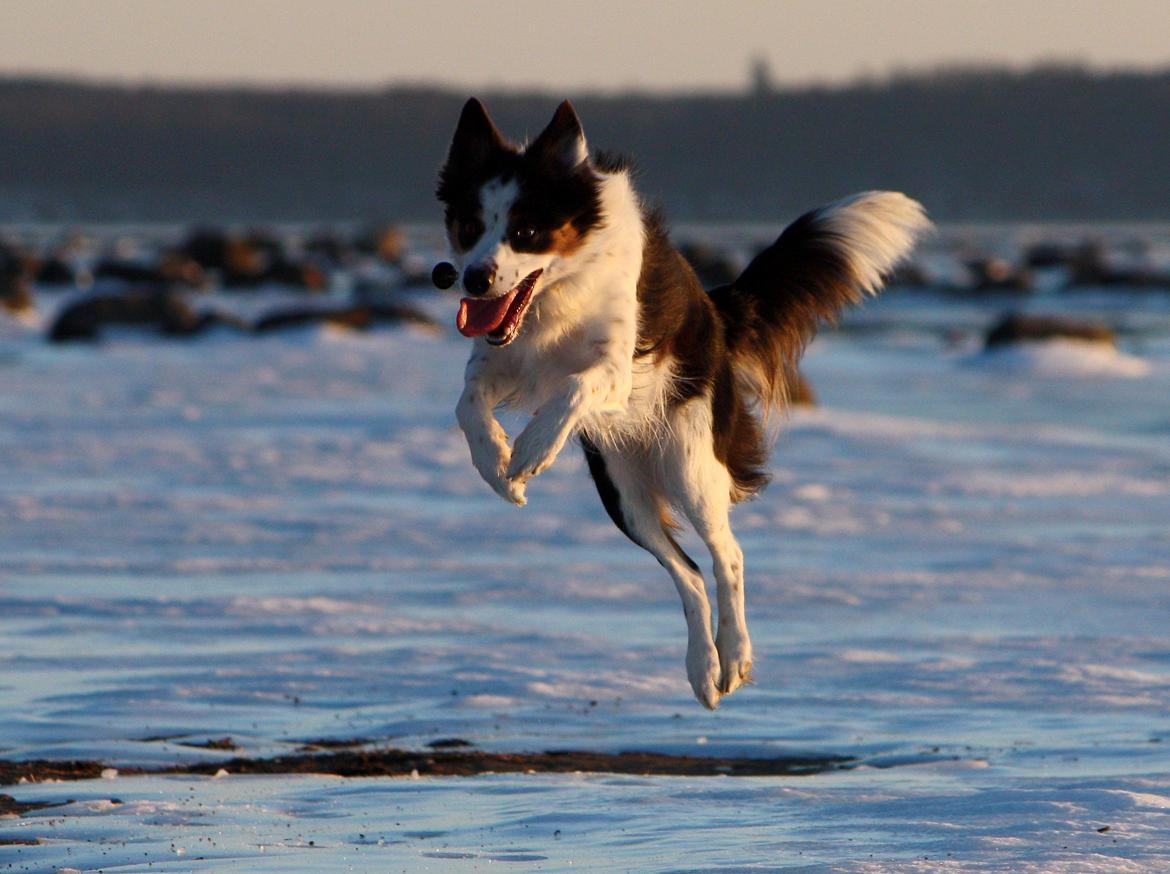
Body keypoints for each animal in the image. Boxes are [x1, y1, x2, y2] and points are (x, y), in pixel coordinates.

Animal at [435, 97, 926, 711]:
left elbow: (575, 387)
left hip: (690, 463)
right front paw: (499, 467)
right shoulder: (499, 360)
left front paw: (529, 451)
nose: (474, 280)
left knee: (726, 556)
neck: (554, 297)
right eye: (469, 226)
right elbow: (467, 402)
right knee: (687, 573)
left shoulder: (615, 368)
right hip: (624, 492)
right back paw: (702, 668)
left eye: (526, 231)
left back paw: (733, 657)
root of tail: (716, 314)